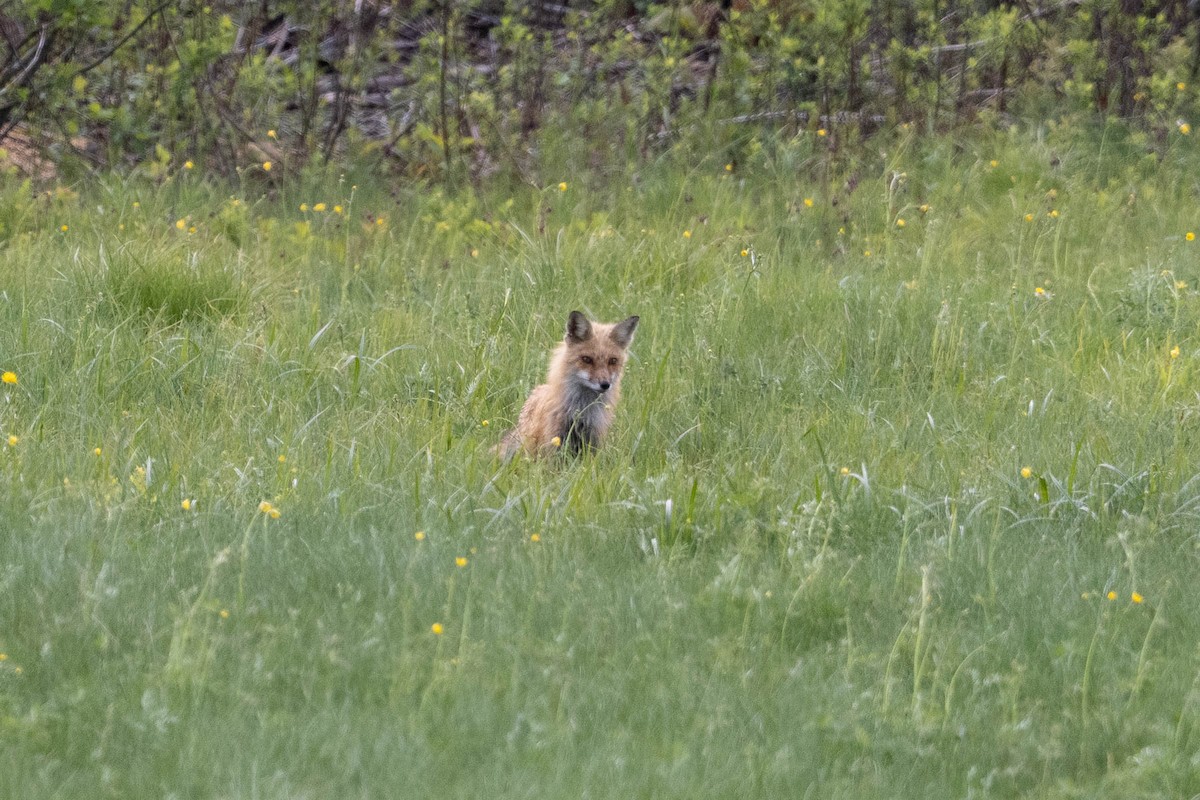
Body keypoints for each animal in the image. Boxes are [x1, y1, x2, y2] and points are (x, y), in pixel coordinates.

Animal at [498, 310, 640, 460]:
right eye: (587, 359)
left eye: (612, 361)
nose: (605, 384)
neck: (582, 411)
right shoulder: (554, 441)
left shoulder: (593, 440)